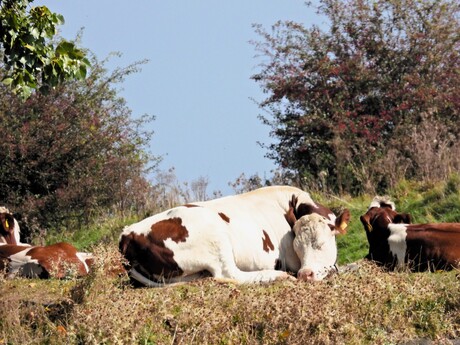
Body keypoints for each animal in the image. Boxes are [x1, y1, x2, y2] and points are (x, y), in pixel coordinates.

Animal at [118, 185, 348, 284]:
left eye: (321, 244)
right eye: (296, 247)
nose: (305, 274)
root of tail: (128, 234)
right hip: (215, 236)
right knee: (229, 274)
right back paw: (277, 276)